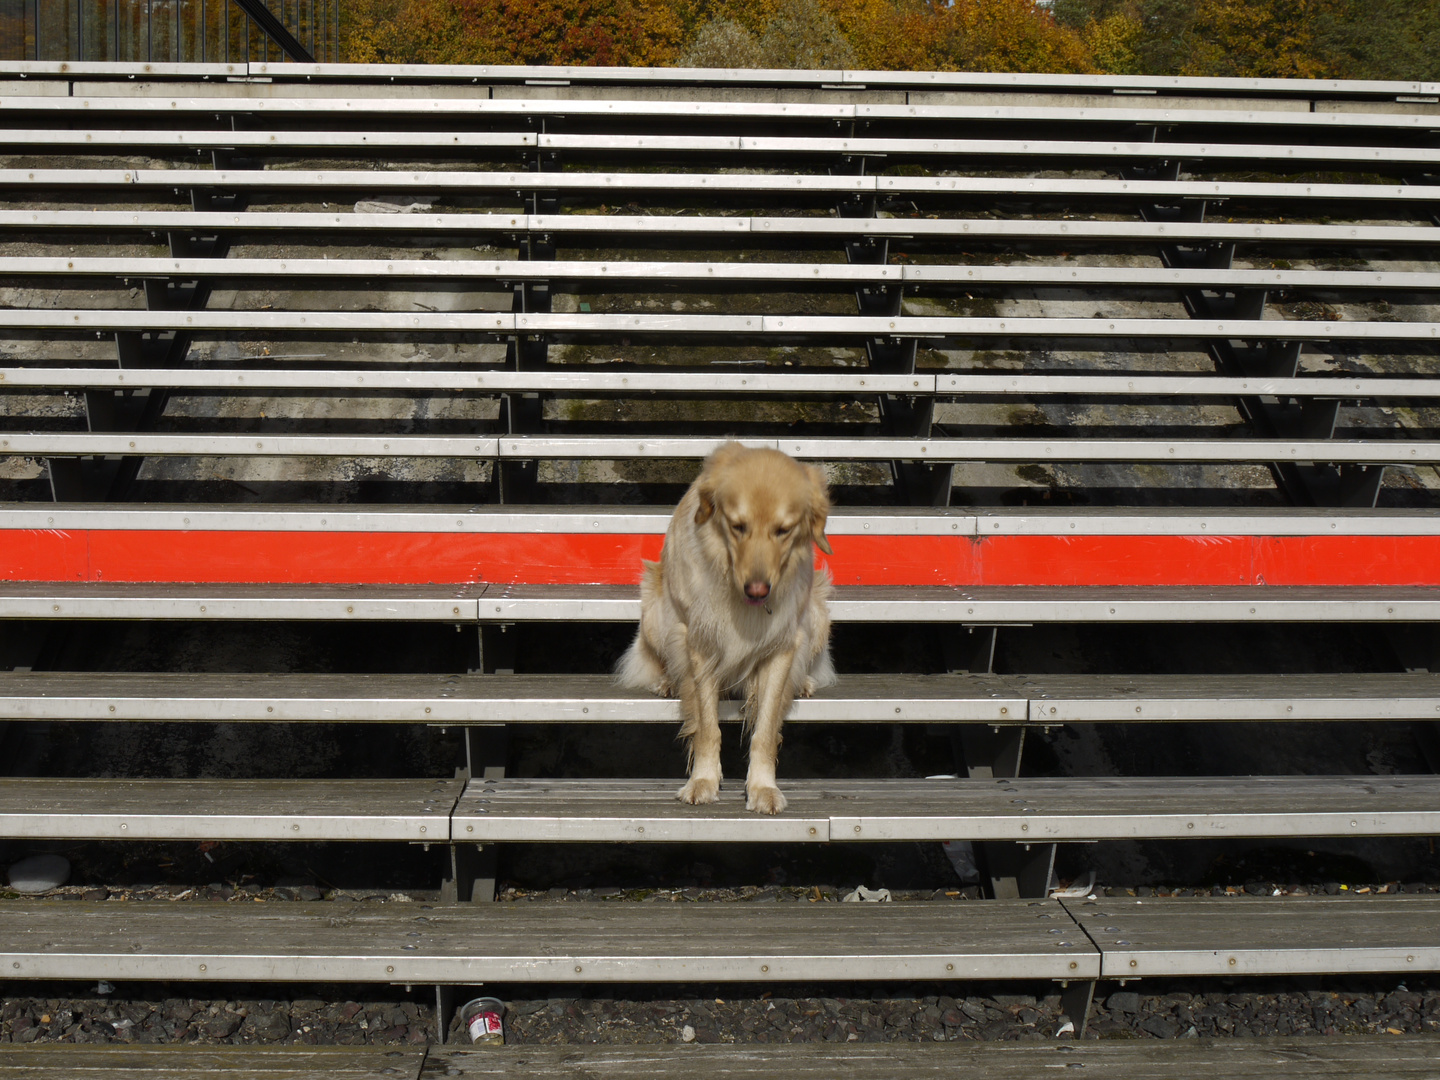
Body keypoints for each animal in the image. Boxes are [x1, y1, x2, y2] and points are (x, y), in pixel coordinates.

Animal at [616, 443, 835, 817]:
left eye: (784, 530)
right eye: (737, 526)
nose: (758, 590)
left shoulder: (781, 647)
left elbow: (764, 730)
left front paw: (763, 787)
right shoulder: (700, 644)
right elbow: (707, 727)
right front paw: (703, 781)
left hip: (817, 612)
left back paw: (804, 681)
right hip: (656, 614)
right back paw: (667, 681)